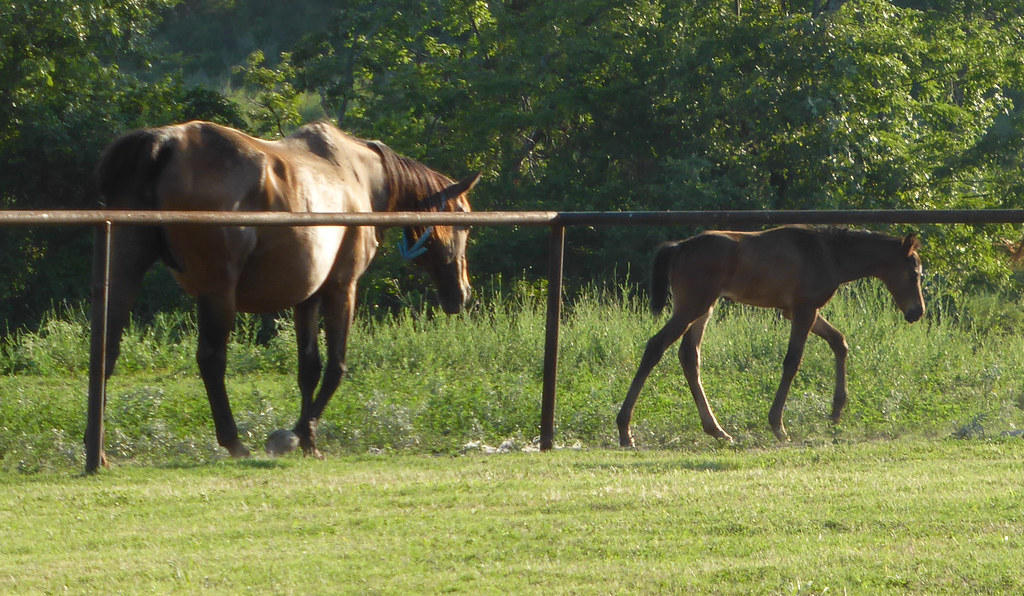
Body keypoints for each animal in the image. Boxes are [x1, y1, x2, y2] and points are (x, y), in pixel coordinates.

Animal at [94, 120, 479, 461]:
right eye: (463, 223)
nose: (461, 293)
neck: (362, 176)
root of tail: (166, 142)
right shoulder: (342, 288)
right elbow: (336, 366)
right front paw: (296, 435)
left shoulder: (307, 297)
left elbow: (309, 367)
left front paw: (308, 441)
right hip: (218, 293)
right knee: (211, 360)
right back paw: (233, 442)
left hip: (125, 273)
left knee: (106, 351)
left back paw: (98, 451)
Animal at [617, 225, 925, 447]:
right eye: (915, 274)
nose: (917, 312)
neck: (828, 253)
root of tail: (679, 247)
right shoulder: (804, 310)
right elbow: (792, 361)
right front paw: (778, 426)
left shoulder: (797, 311)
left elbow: (839, 342)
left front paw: (836, 412)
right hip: (693, 306)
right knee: (655, 346)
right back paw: (625, 430)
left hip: (703, 308)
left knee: (689, 357)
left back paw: (717, 431)